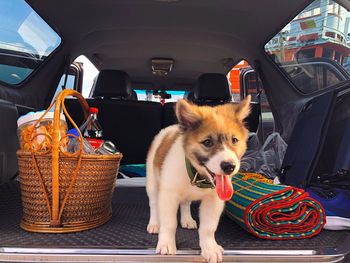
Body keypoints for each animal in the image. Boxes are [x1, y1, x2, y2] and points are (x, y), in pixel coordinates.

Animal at [146, 95, 250, 263]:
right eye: (207, 142)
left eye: (234, 140)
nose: (229, 166)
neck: (198, 174)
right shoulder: (169, 195)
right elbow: (169, 223)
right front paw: (166, 243)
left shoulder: (214, 200)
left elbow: (208, 227)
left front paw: (210, 248)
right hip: (152, 182)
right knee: (154, 204)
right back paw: (154, 223)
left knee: (185, 203)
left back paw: (187, 219)